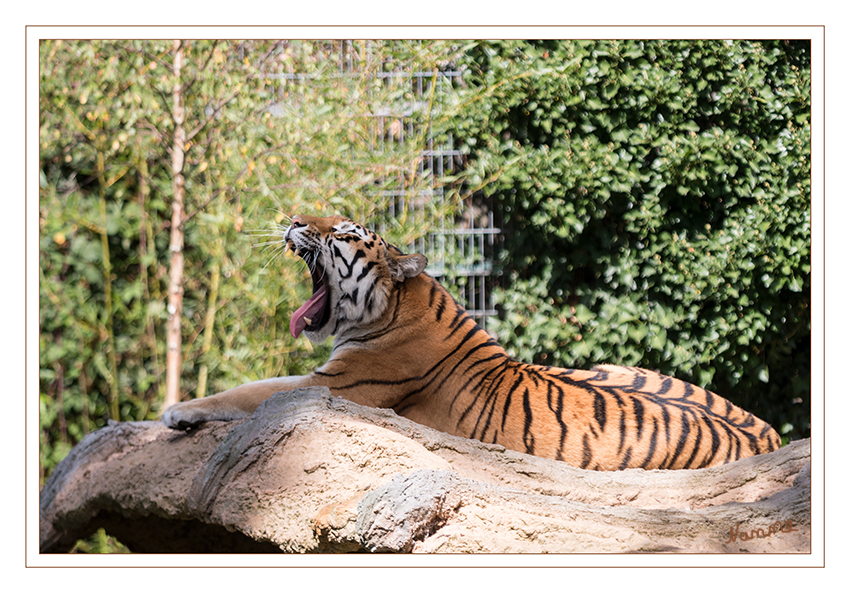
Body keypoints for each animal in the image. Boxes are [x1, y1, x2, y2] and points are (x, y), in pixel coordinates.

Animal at [162, 215, 780, 470]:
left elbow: (248, 391)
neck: (396, 307)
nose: (292, 219)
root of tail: (767, 438)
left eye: (340, 232)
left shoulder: (334, 386)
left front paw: (178, 410)